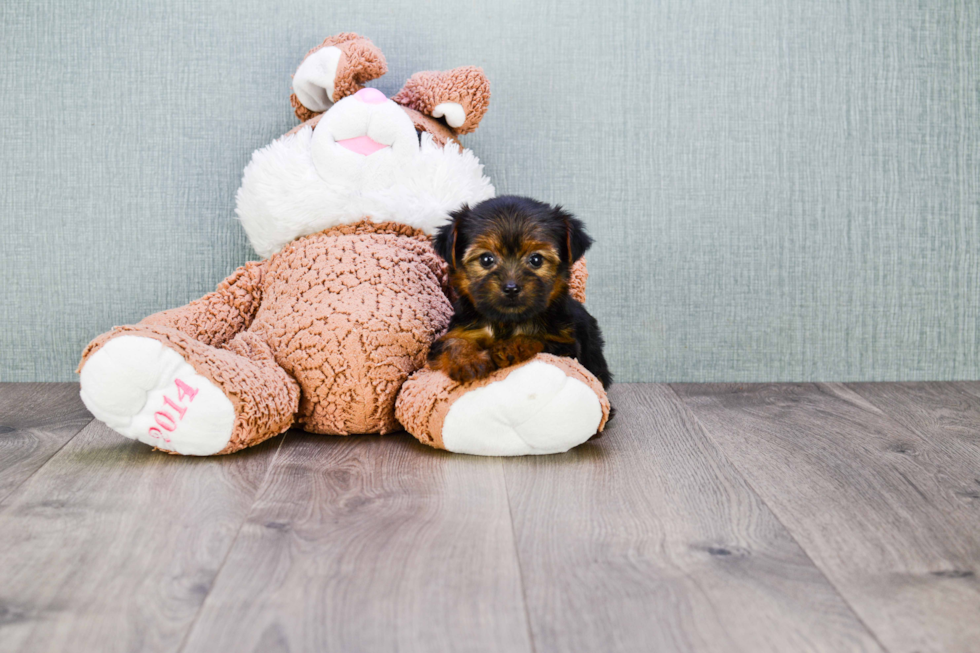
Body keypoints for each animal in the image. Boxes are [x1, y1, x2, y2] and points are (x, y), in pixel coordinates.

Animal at [428, 195, 612, 392]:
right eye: (486, 259)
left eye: (536, 260)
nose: (511, 288)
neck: (506, 321)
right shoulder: (459, 332)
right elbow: (453, 342)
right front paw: (468, 360)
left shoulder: (565, 344)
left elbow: (535, 337)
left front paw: (509, 347)